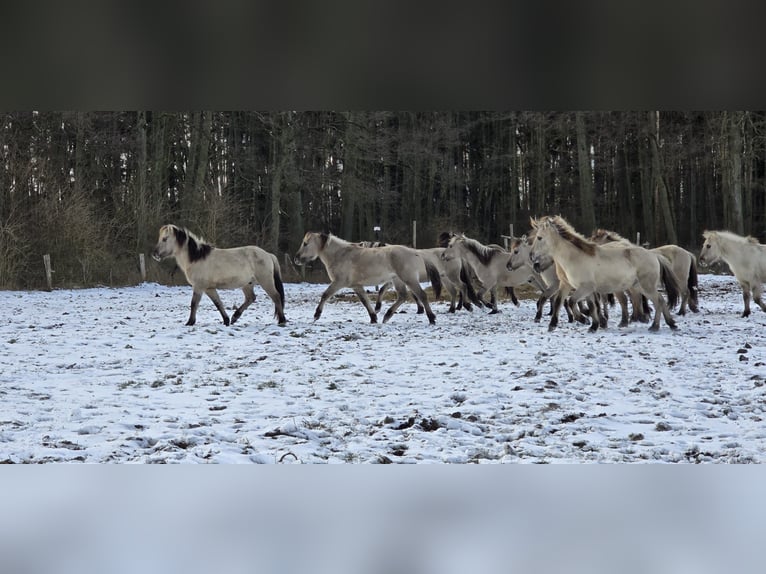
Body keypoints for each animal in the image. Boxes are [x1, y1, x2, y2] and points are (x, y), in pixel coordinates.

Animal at [151, 227, 288, 330]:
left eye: (164, 239)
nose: (155, 254)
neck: (196, 258)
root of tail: (268, 255)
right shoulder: (209, 288)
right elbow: (218, 303)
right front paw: (226, 320)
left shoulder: (199, 287)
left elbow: (194, 303)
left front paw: (190, 322)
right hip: (247, 284)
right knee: (251, 298)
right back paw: (234, 318)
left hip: (266, 281)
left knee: (276, 297)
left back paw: (282, 320)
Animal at [294, 233, 440, 324]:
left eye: (305, 243)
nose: (296, 259)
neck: (341, 255)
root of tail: (416, 253)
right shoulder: (356, 286)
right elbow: (365, 301)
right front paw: (373, 318)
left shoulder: (339, 282)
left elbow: (325, 295)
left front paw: (316, 315)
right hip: (398, 280)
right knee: (403, 296)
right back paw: (386, 316)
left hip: (408, 279)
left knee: (421, 295)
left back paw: (431, 318)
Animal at [532, 216, 680, 332]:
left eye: (539, 237)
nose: (532, 257)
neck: (573, 258)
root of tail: (653, 255)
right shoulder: (568, 285)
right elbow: (568, 303)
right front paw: (593, 325)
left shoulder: (585, 287)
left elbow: (572, 301)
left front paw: (584, 320)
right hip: (639, 286)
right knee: (660, 299)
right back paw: (671, 324)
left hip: (646, 286)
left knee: (657, 301)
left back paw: (655, 326)